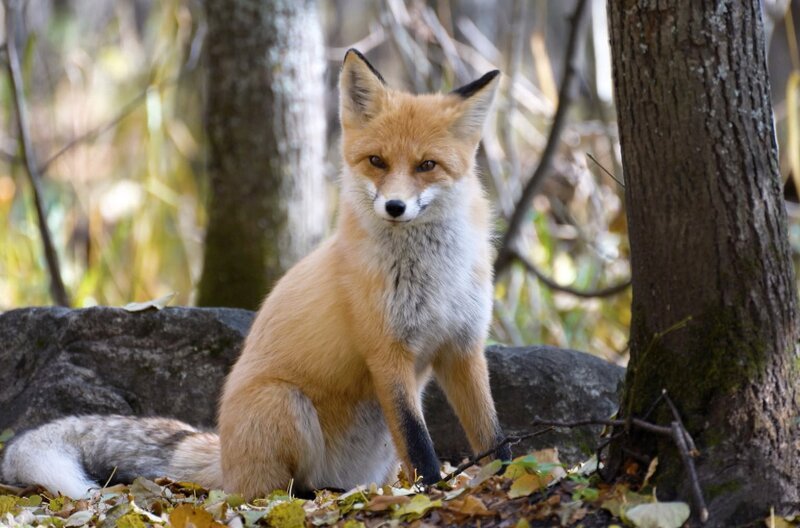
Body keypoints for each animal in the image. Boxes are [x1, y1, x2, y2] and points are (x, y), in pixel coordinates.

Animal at [1, 49, 511, 500]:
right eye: (377, 162)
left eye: (427, 166)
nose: (394, 207)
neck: (434, 277)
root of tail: (224, 455)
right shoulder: (387, 352)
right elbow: (420, 446)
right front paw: (434, 491)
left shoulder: (462, 346)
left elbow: (493, 435)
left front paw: (510, 476)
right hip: (284, 404)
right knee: (269, 491)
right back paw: (311, 496)